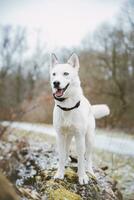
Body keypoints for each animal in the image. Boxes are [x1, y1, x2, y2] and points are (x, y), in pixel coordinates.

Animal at [49, 52, 109, 184]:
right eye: (54, 74)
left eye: (66, 73)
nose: (55, 83)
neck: (67, 108)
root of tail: (90, 105)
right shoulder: (60, 135)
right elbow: (61, 156)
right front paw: (60, 173)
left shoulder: (80, 136)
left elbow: (81, 159)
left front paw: (82, 176)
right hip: (67, 137)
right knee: (66, 153)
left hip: (89, 139)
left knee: (88, 158)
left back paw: (90, 172)